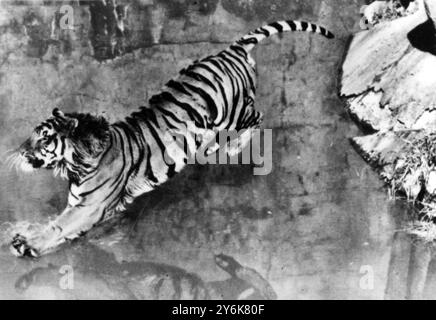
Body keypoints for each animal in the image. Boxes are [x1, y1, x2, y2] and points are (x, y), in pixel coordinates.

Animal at [5, 18, 334, 258]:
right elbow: (53, 222)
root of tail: (230, 50)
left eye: (44, 139)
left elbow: (58, 227)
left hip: (236, 112)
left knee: (256, 118)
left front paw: (28, 244)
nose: (19, 151)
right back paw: (212, 146)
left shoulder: (90, 207)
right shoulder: (80, 202)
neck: (75, 164)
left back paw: (231, 147)